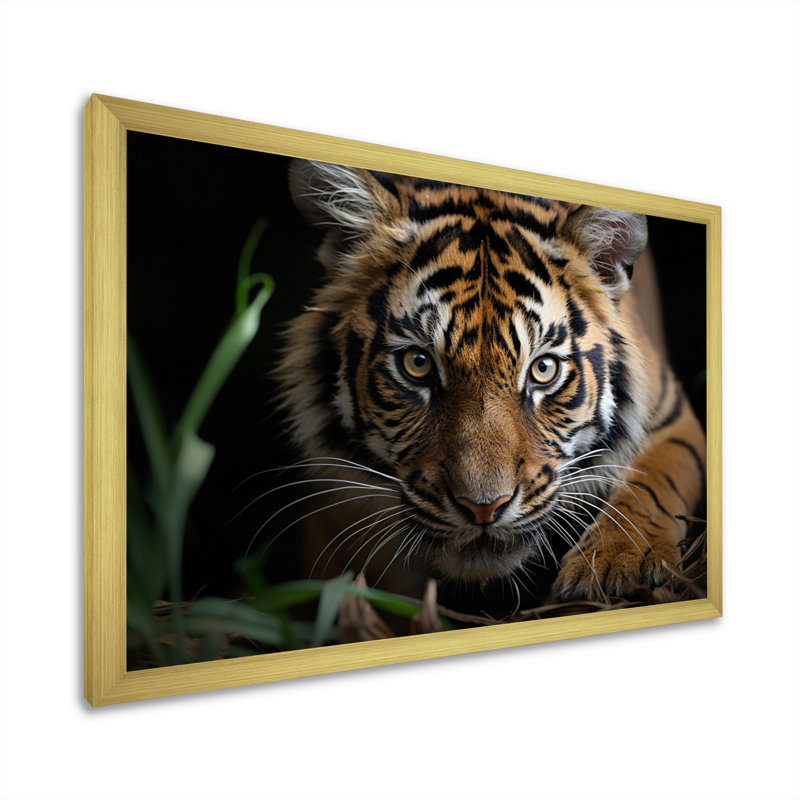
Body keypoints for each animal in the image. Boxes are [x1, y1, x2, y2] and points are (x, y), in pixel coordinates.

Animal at [273, 159, 706, 609]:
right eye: (417, 364)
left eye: (543, 369)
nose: (483, 508)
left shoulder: (671, 417)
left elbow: (650, 485)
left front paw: (617, 564)